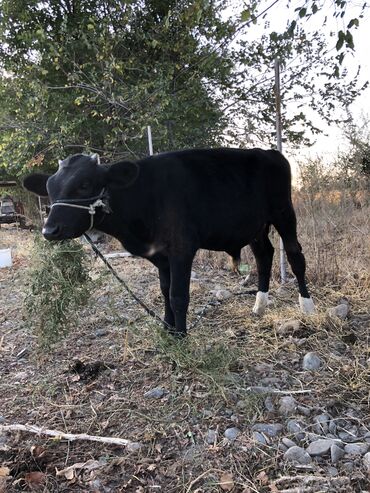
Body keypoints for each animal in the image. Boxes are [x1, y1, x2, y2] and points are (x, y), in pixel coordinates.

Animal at [22, 148, 316, 336]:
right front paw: (167, 327)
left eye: (84, 184)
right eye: (49, 188)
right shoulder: (161, 256)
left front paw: (181, 335)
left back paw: (307, 306)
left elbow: (178, 295)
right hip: (255, 226)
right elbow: (164, 291)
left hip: (284, 213)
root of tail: (269, 151)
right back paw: (259, 305)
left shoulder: (181, 249)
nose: (49, 230)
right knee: (264, 255)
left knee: (295, 255)